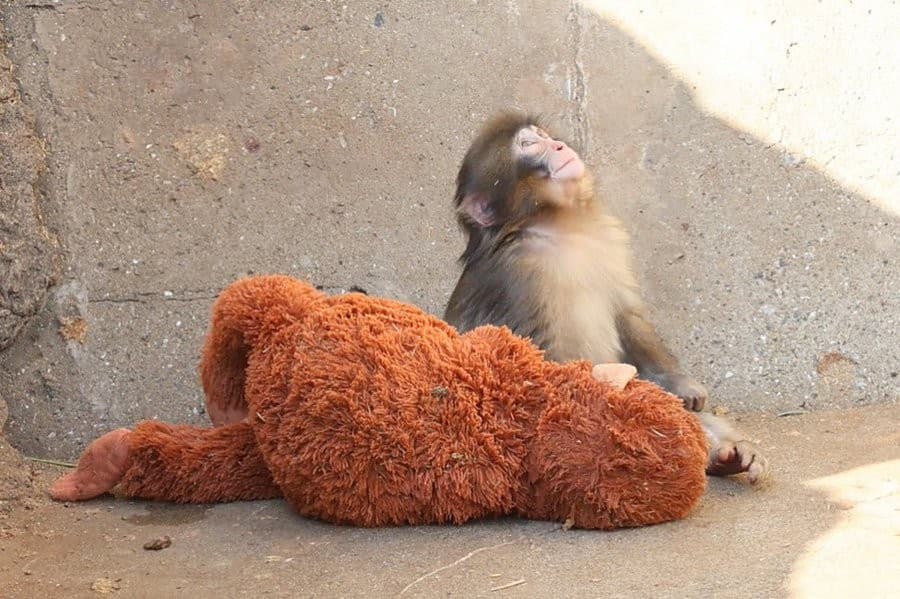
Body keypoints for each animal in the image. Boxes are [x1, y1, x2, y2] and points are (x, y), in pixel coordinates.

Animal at [444, 111, 768, 483]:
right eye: (528, 145)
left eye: (542, 136)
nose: (560, 146)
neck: (559, 227)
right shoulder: (518, 276)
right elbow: (539, 363)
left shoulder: (608, 238)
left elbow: (628, 317)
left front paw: (680, 385)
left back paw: (725, 455)